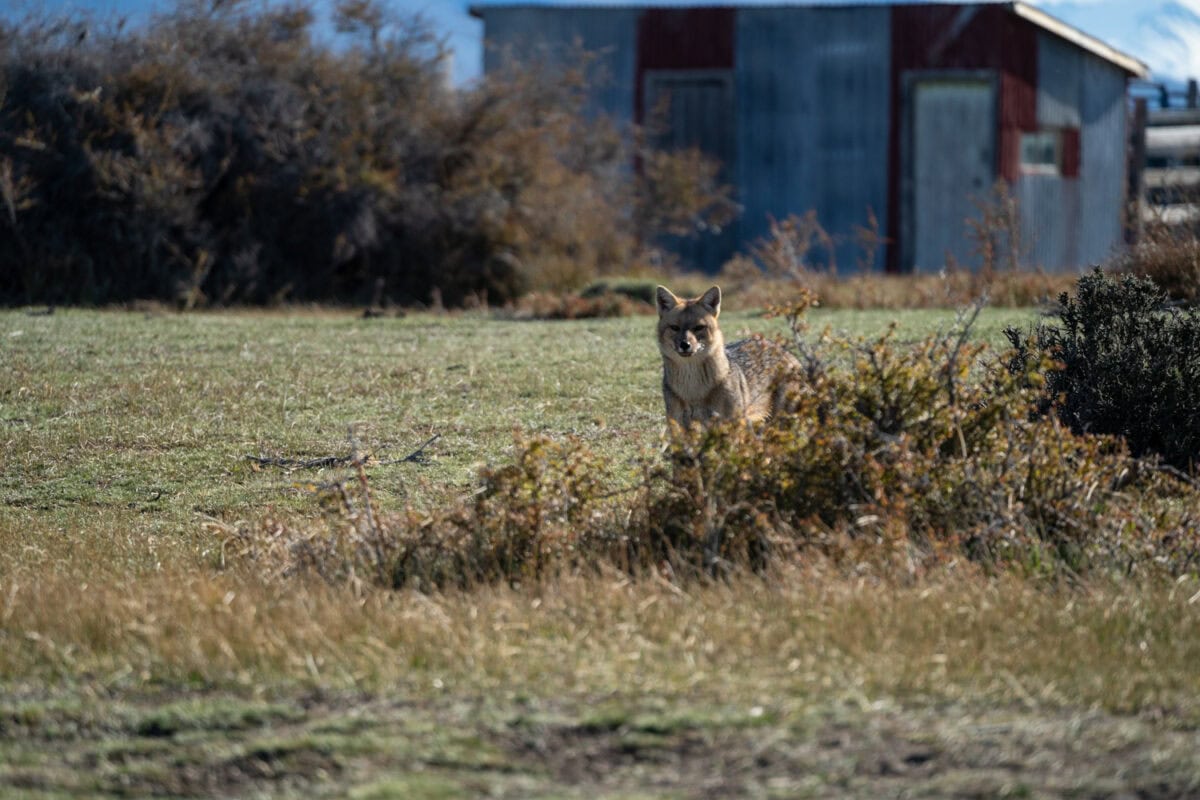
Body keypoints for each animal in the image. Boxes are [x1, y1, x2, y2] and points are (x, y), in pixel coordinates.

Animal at [657, 284, 796, 429]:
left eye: (699, 327)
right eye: (674, 327)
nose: (685, 344)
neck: (694, 391)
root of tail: (785, 351)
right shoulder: (678, 426)